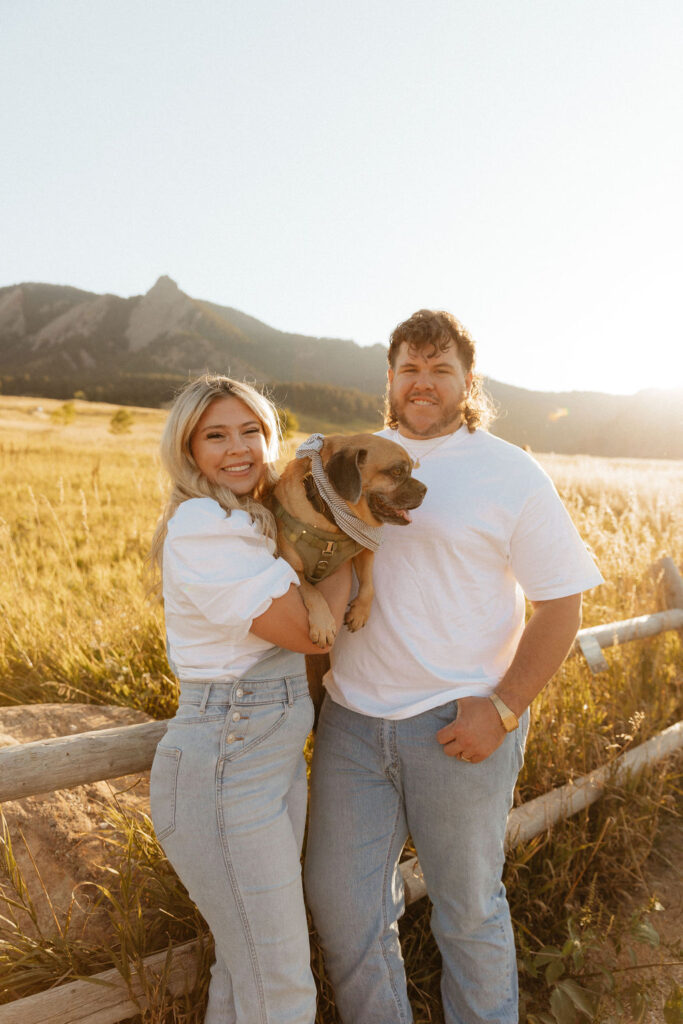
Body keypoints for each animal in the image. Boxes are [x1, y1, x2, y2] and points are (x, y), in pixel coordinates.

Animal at [270, 434, 423, 647]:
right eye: (397, 471)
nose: (425, 490)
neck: (328, 512)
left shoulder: (364, 551)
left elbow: (369, 586)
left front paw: (359, 613)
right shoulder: (293, 569)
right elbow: (312, 592)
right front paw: (324, 624)